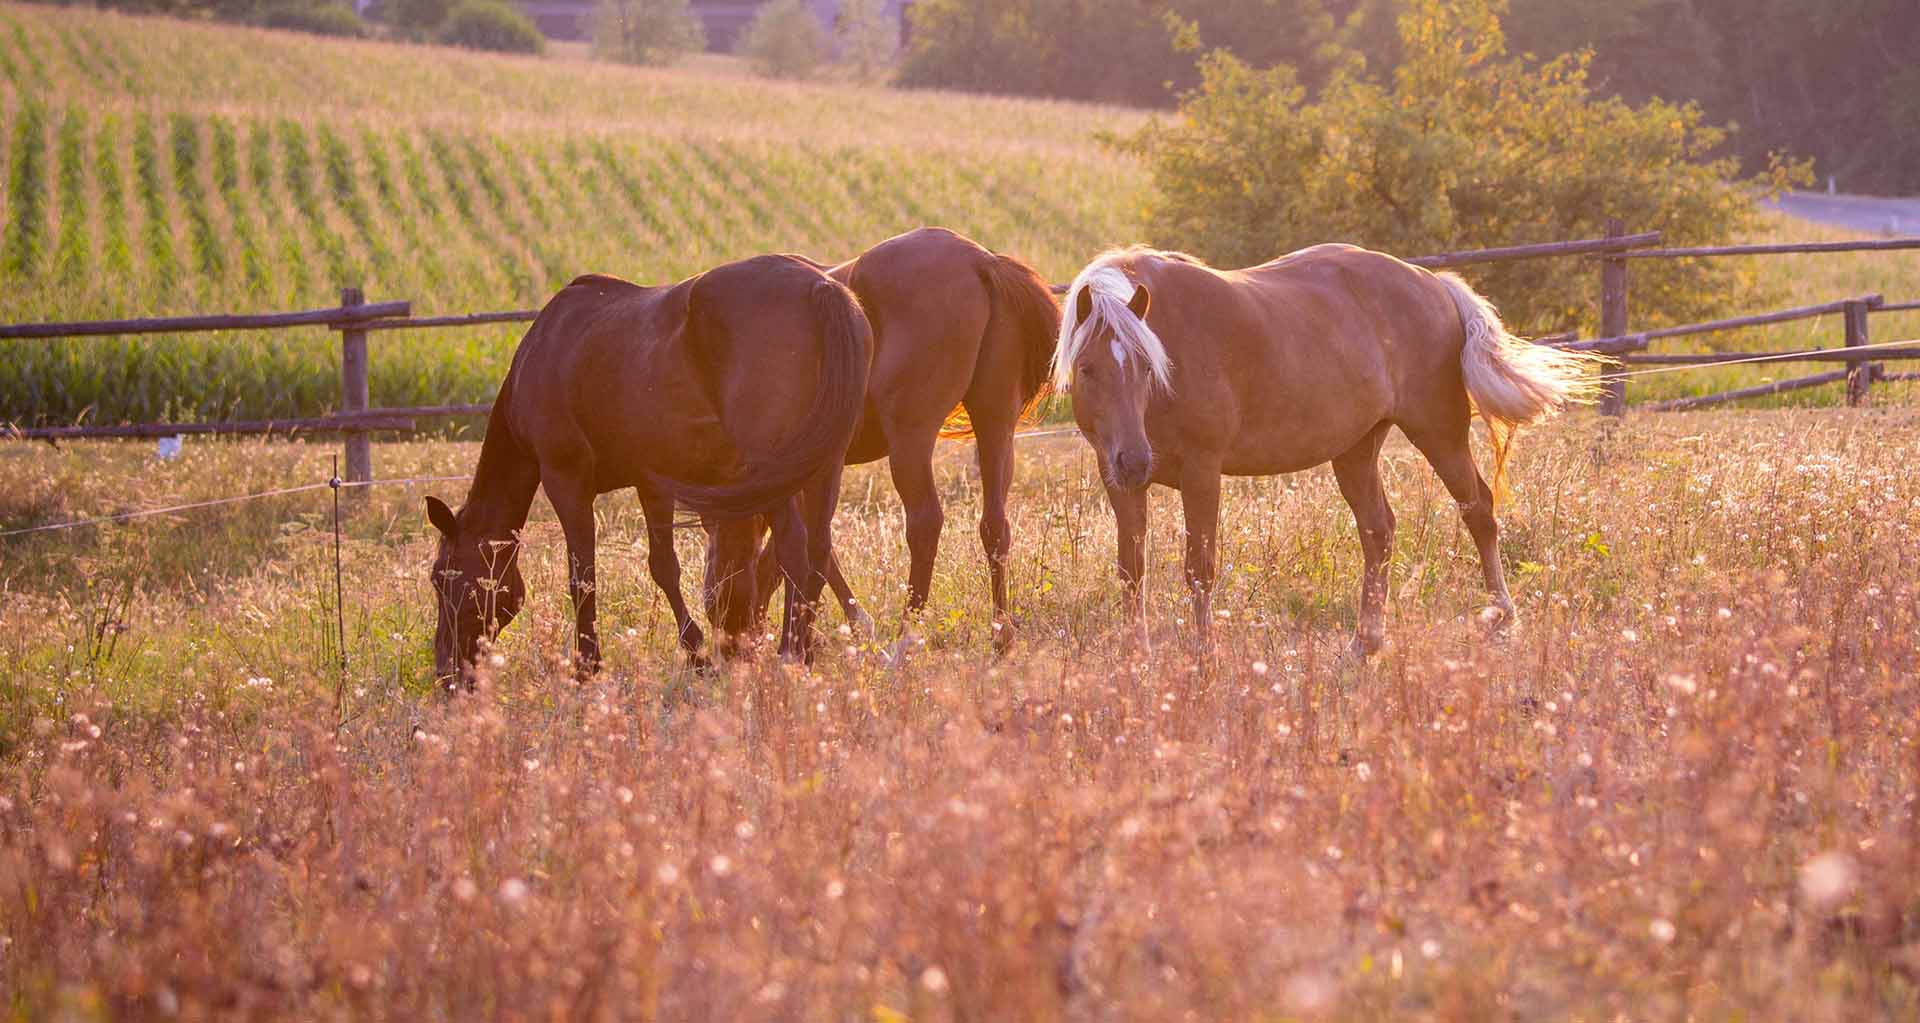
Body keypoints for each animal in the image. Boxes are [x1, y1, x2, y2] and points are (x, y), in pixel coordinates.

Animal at [428, 253, 871, 687]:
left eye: (440, 577)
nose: (446, 672)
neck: (544, 351)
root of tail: (821, 287)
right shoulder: (651, 483)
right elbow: (664, 567)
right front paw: (697, 656)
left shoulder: (565, 481)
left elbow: (582, 575)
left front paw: (587, 666)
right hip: (821, 468)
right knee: (818, 549)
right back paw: (805, 651)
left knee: (794, 549)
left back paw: (790, 655)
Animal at [710, 227, 1067, 648]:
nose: (716, 611)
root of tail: (980, 261)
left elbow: (807, 547)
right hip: (994, 421)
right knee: (995, 525)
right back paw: (1002, 637)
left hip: (910, 438)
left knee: (925, 523)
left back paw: (904, 639)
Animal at [1052, 243, 1605, 648]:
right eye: (1088, 368)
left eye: (1146, 366)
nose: (1135, 461)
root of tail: (1433, 284)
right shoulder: (1116, 480)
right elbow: (1132, 570)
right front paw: (1137, 655)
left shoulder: (1202, 474)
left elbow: (1199, 571)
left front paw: (1204, 657)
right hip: (1356, 449)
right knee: (1379, 530)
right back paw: (1367, 641)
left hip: (1438, 432)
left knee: (1479, 510)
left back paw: (1501, 616)